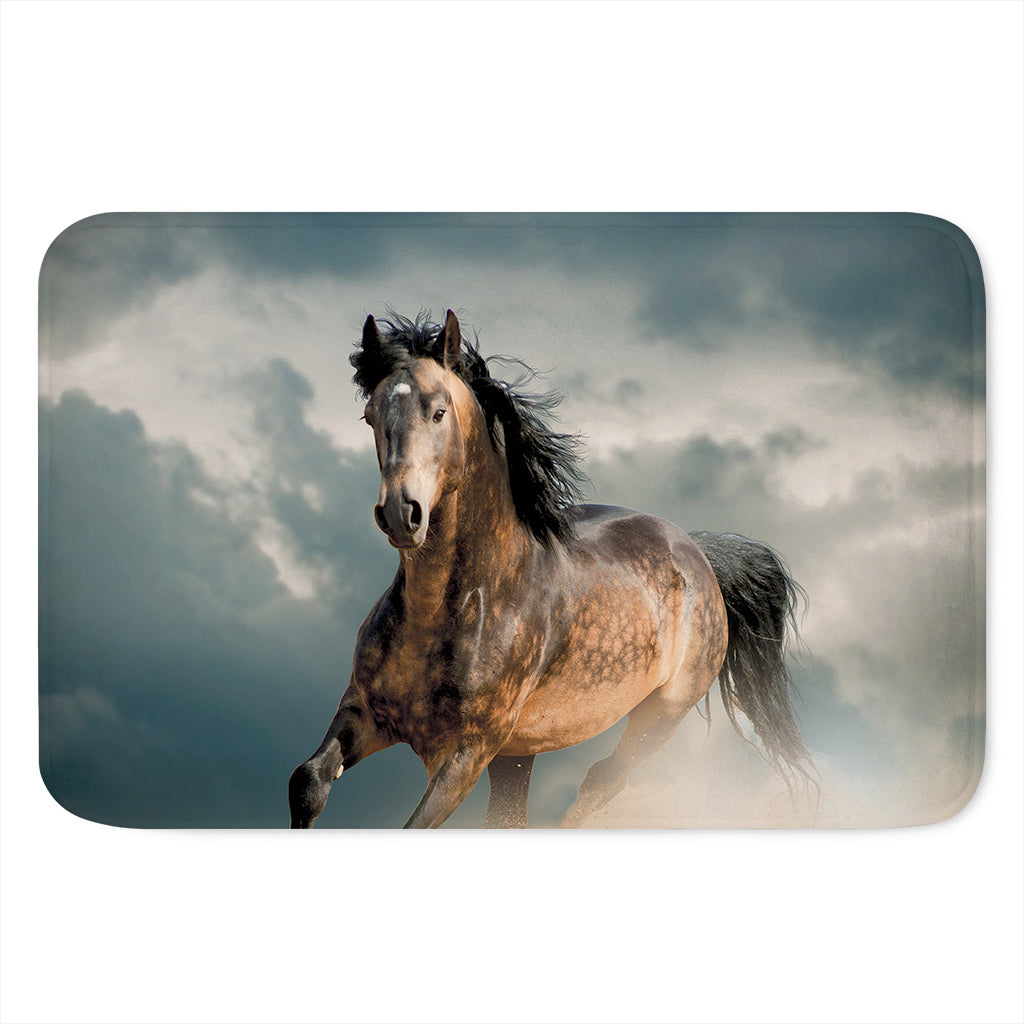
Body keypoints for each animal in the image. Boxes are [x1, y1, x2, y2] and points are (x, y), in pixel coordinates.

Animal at [288, 310, 814, 828]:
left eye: (438, 411)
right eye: (370, 416)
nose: (401, 513)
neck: (445, 611)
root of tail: (698, 552)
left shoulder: (464, 754)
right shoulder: (363, 712)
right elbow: (307, 783)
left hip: (658, 717)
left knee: (602, 782)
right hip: (519, 752)